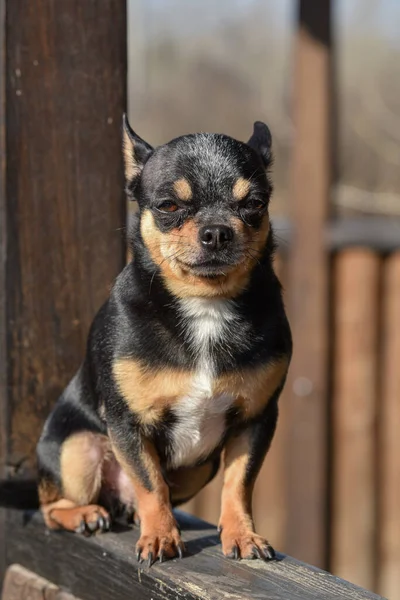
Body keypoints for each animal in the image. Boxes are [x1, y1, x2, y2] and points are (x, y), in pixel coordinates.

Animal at [36, 115, 290, 564]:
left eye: (254, 205)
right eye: (169, 206)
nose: (217, 232)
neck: (206, 305)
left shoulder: (256, 421)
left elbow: (239, 483)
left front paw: (241, 534)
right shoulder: (128, 423)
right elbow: (150, 483)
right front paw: (159, 536)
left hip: (199, 467)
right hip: (77, 449)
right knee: (51, 507)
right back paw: (85, 515)